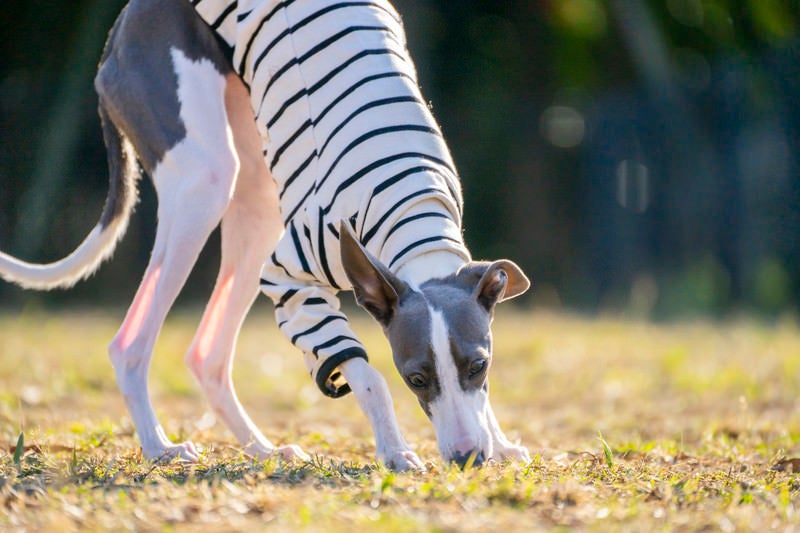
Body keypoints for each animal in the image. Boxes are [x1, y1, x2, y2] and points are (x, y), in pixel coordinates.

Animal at [0, 0, 532, 468]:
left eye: (479, 366)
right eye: (416, 378)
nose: (468, 457)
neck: (410, 209)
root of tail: (119, 31)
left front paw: (501, 443)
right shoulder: (291, 280)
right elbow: (367, 377)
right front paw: (395, 452)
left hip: (257, 195)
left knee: (207, 354)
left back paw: (262, 449)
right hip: (203, 181)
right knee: (130, 344)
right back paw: (159, 446)